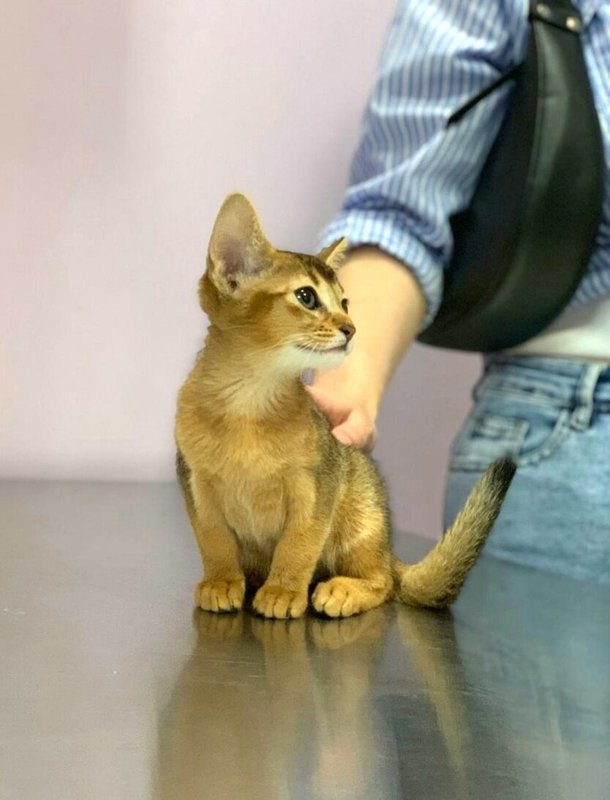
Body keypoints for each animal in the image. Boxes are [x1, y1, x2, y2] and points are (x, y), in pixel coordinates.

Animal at [175, 193, 516, 619]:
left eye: (346, 302)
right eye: (306, 297)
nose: (351, 329)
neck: (248, 402)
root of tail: (388, 551)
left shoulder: (318, 486)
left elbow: (298, 545)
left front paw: (284, 590)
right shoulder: (196, 483)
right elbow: (214, 541)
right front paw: (221, 582)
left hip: (358, 516)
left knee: (384, 582)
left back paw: (344, 590)